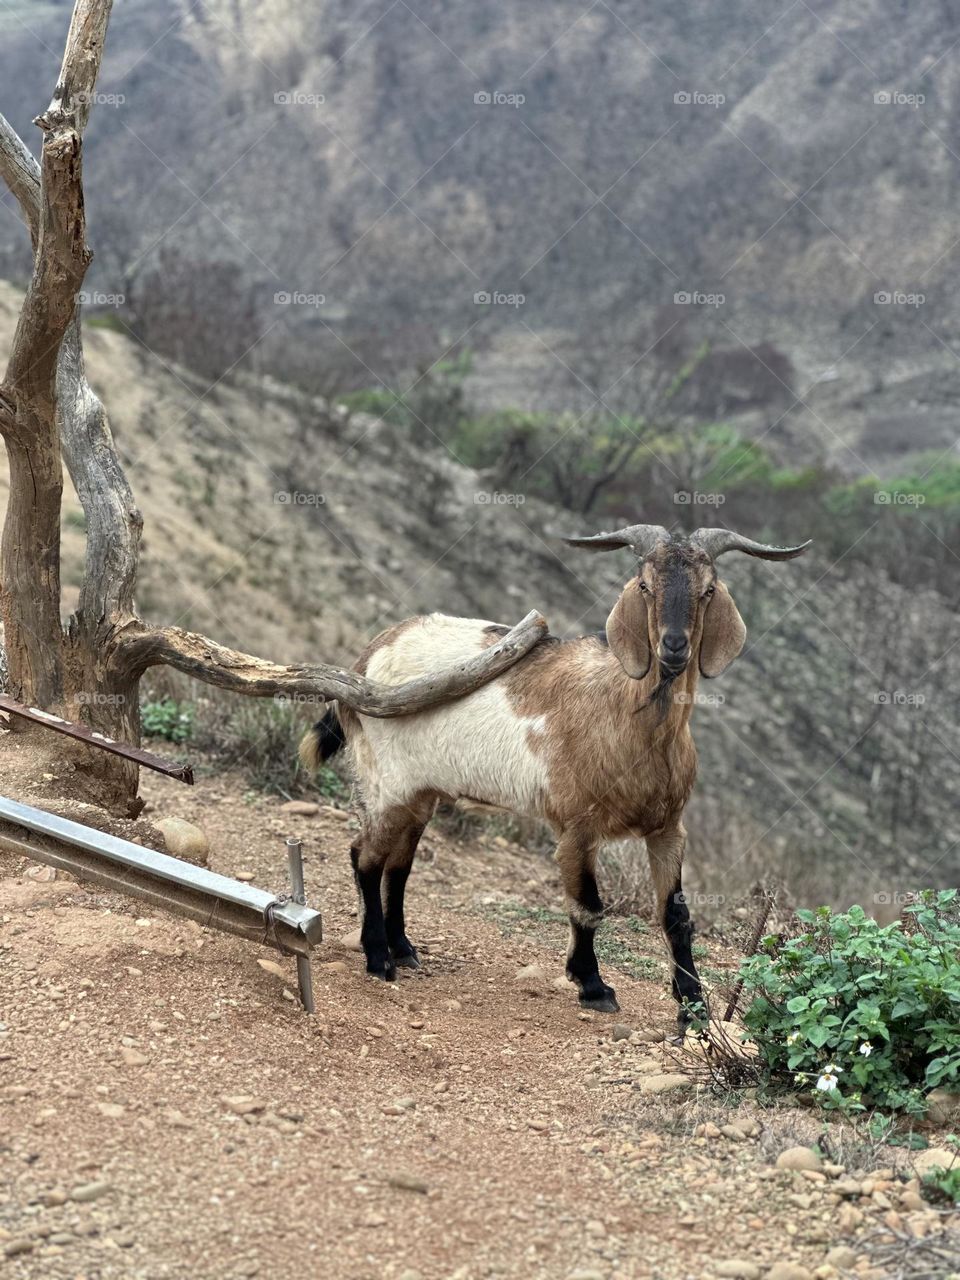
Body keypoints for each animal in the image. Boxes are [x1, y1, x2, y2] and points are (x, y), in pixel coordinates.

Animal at [300, 524, 809, 1027]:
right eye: (645, 585)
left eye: (708, 590)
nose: (674, 647)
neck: (629, 716)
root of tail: (367, 657)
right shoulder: (577, 827)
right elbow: (587, 906)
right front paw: (593, 985)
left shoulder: (668, 828)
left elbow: (676, 916)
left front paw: (692, 1006)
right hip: (387, 782)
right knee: (365, 857)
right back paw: (379, 957)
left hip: (422, 792)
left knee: (399, 865)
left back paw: (403, 949)